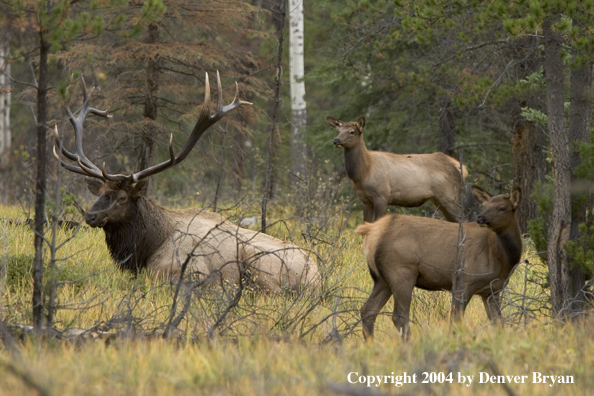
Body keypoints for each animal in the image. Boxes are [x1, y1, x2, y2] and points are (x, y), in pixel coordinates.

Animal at [52, 73, 320, 290]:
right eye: (100, 193)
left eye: (122, 198)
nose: (90, 216)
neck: (147, 246)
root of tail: (316, 275)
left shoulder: (186, 268)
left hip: (259, 262)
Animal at [324, 115, 468, 223]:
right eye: (339, 131)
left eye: (352, 132)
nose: (336, 140)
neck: (363, 172)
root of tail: (460, 167)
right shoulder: (365, 200)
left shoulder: (382, 196)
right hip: (440, 199)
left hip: (450, 196)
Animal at [354, 184, 520, 338]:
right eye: (486, 206)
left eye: (502, 208)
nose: (481, 218)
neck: (501, 257)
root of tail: (371, 231)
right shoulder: (464, 280)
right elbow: (456, 319)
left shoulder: (492, 290)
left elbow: (498, 321)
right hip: (401, 272)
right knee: (399, 316)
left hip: (382, 279)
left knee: (368, 310)